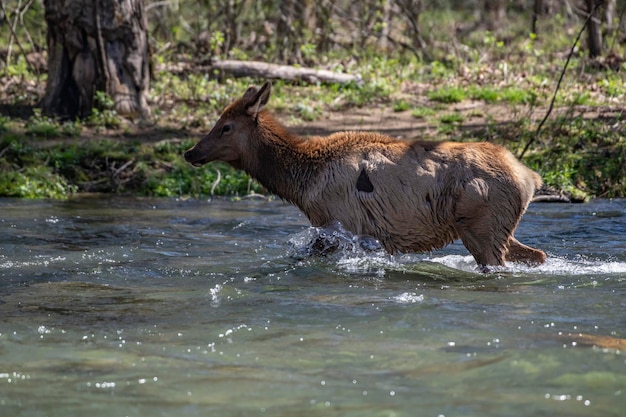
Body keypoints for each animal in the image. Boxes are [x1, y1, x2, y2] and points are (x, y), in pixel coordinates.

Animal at [183, 82, 544, 270]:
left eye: (225, 126)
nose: (190, 152)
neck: (302, 182)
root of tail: (530, 177)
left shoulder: (343, 223)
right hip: (498, 227)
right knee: (536, 254)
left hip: (482, 227)